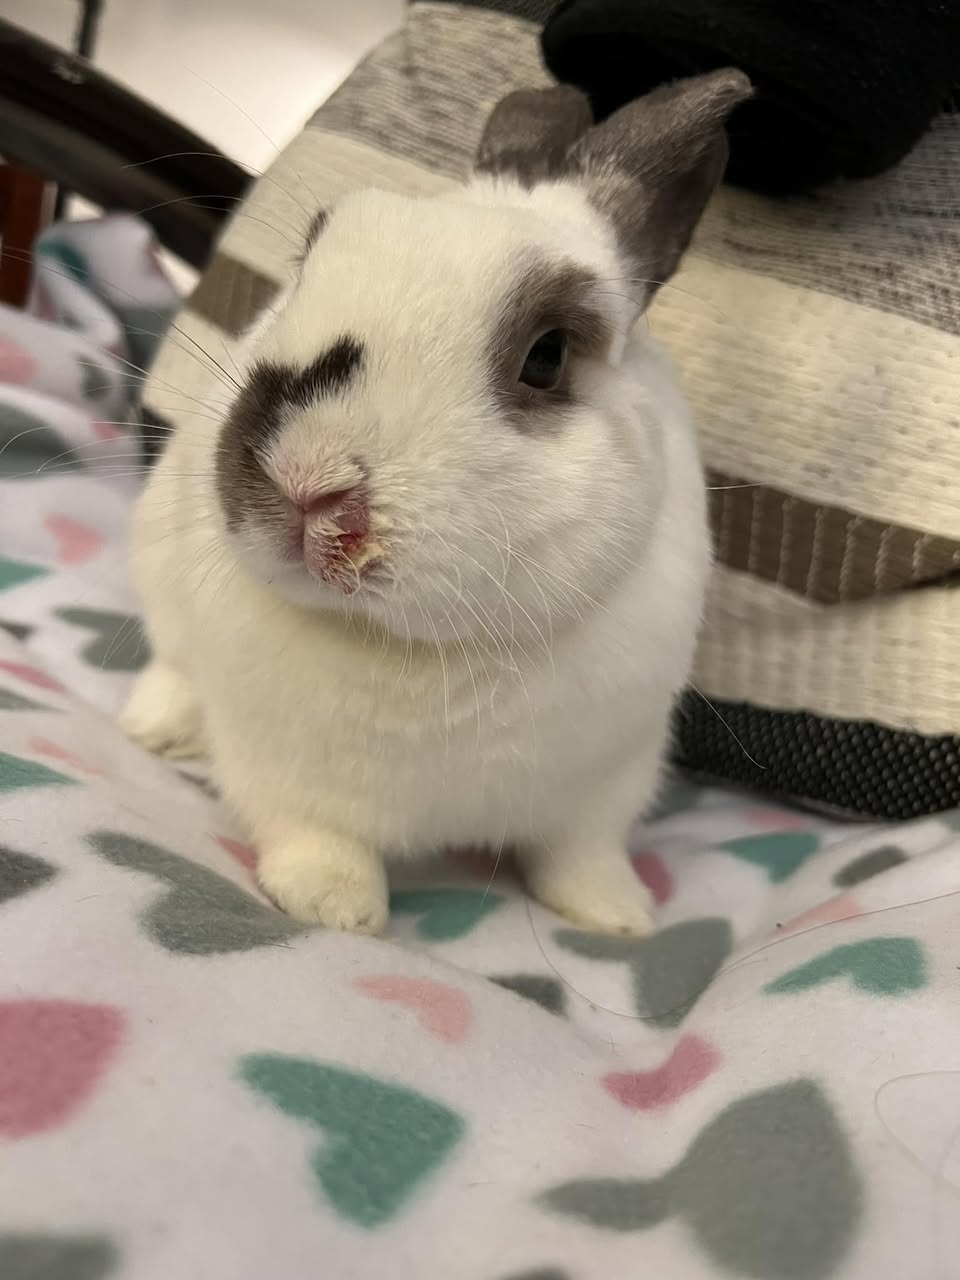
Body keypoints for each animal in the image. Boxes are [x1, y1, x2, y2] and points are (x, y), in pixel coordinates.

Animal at [121, 69, 751, 935]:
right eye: (306, 265)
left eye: (548, 355)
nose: (304, 475)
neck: (426, 649)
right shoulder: (279, 768)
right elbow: (315, 834)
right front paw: (334, 907)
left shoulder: (603, 787)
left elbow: (580, 855)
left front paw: (616, 916)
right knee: (171, 665)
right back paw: (156, 729)